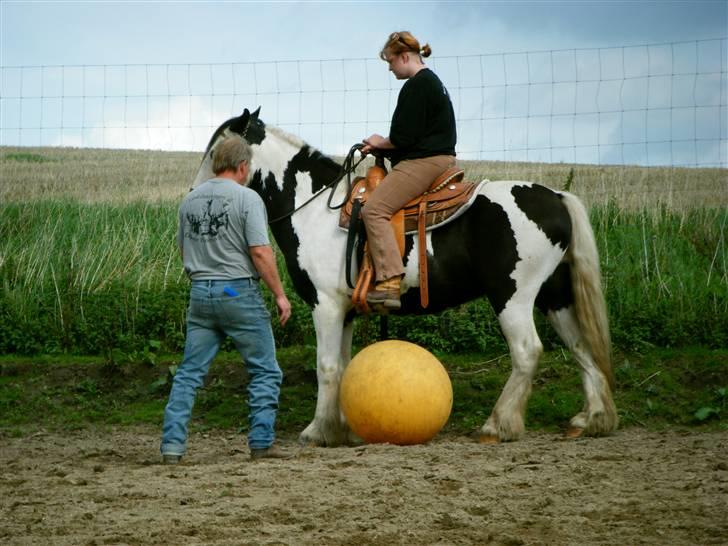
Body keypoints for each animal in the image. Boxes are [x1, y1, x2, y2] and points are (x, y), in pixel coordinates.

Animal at [191, 108, 616, 444]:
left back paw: (498, 425)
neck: (315, 210)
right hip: (555, 297)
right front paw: (341, 428)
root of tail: (556, 197)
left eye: (214, 152)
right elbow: (343, 366)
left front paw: (318, 431)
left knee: (527, 351)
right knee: (580, 346)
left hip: (513, 297)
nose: (197, 191)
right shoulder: (345, 311)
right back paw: (592, 418)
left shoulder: (325, 306)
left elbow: (327, 367)